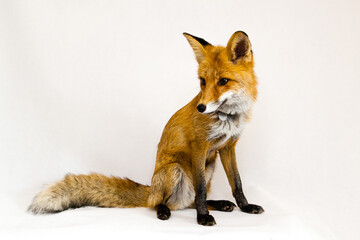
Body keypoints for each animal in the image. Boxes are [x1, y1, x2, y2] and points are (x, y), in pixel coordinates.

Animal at [28, 31, 264, 225]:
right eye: (203, 82)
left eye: (223, 81)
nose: (201, 108)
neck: (229, 117)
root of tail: (150, 191)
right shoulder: (199, 146)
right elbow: (200, 193)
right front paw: (202, 217)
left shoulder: (228, 146)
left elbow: (237, 183)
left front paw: (245, 207)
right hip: (175, 169)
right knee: (164, 203)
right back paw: (163, 211)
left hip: (209, 167)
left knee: (188, 201)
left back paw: (219, 204)